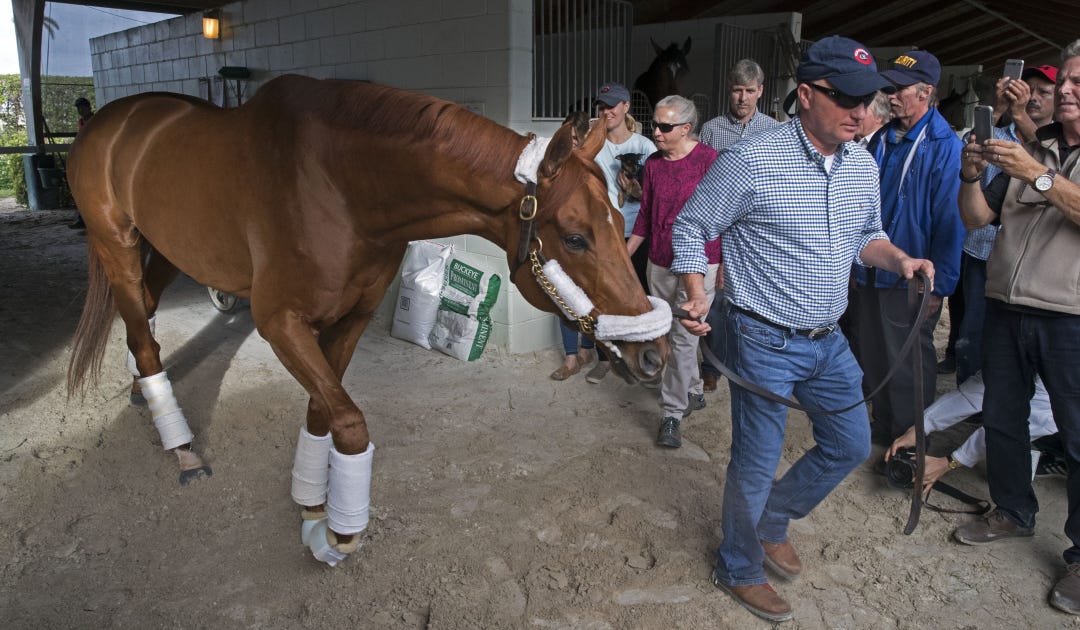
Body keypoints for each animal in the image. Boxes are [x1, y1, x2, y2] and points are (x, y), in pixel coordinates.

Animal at [65, 74, 670, 566]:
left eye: (620, 219)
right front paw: (339, 532)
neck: (338, 185)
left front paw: (312, 507)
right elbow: (350, 423)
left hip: (169, 248)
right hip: (117, 245)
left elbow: (322, 412)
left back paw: (142, 391)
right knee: (141, 332)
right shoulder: (279, 322)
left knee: (142, 314)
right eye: (575, 237)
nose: (653, 354)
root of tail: (108, 120)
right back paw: (182, 446)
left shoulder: (351, 317)